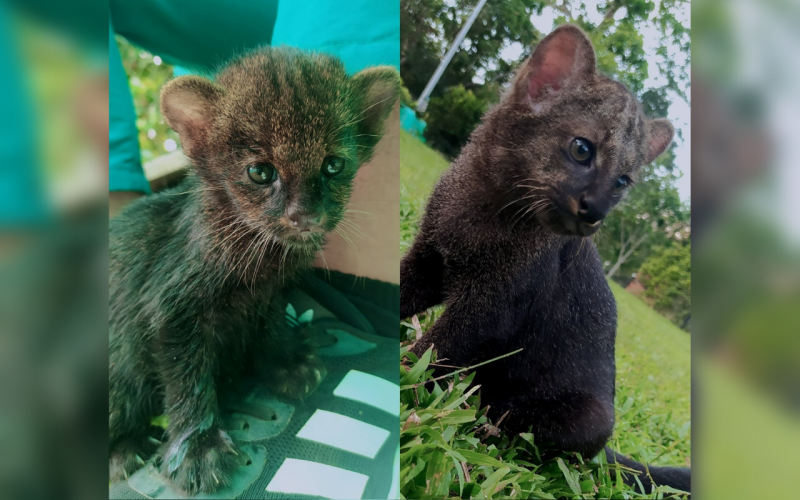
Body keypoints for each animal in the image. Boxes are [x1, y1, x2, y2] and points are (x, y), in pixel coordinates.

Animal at [108, 47, 400, 496]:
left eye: (333, 165)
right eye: (260, 171)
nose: (306, 216)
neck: (260, 259)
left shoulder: (269, 293)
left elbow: (270, 325)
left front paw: (287, 363)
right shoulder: (169, 309)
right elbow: (187, 379)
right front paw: (198, 449)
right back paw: (125, 451)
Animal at [404, 25, 692, 494]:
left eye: (622, 181)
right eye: (582, 148)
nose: (596, 211)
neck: (483, 204)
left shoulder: (489, 307)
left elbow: (432, 349)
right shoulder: (427, 260)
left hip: (589, 417)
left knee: (516, 425)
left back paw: (482, 431)